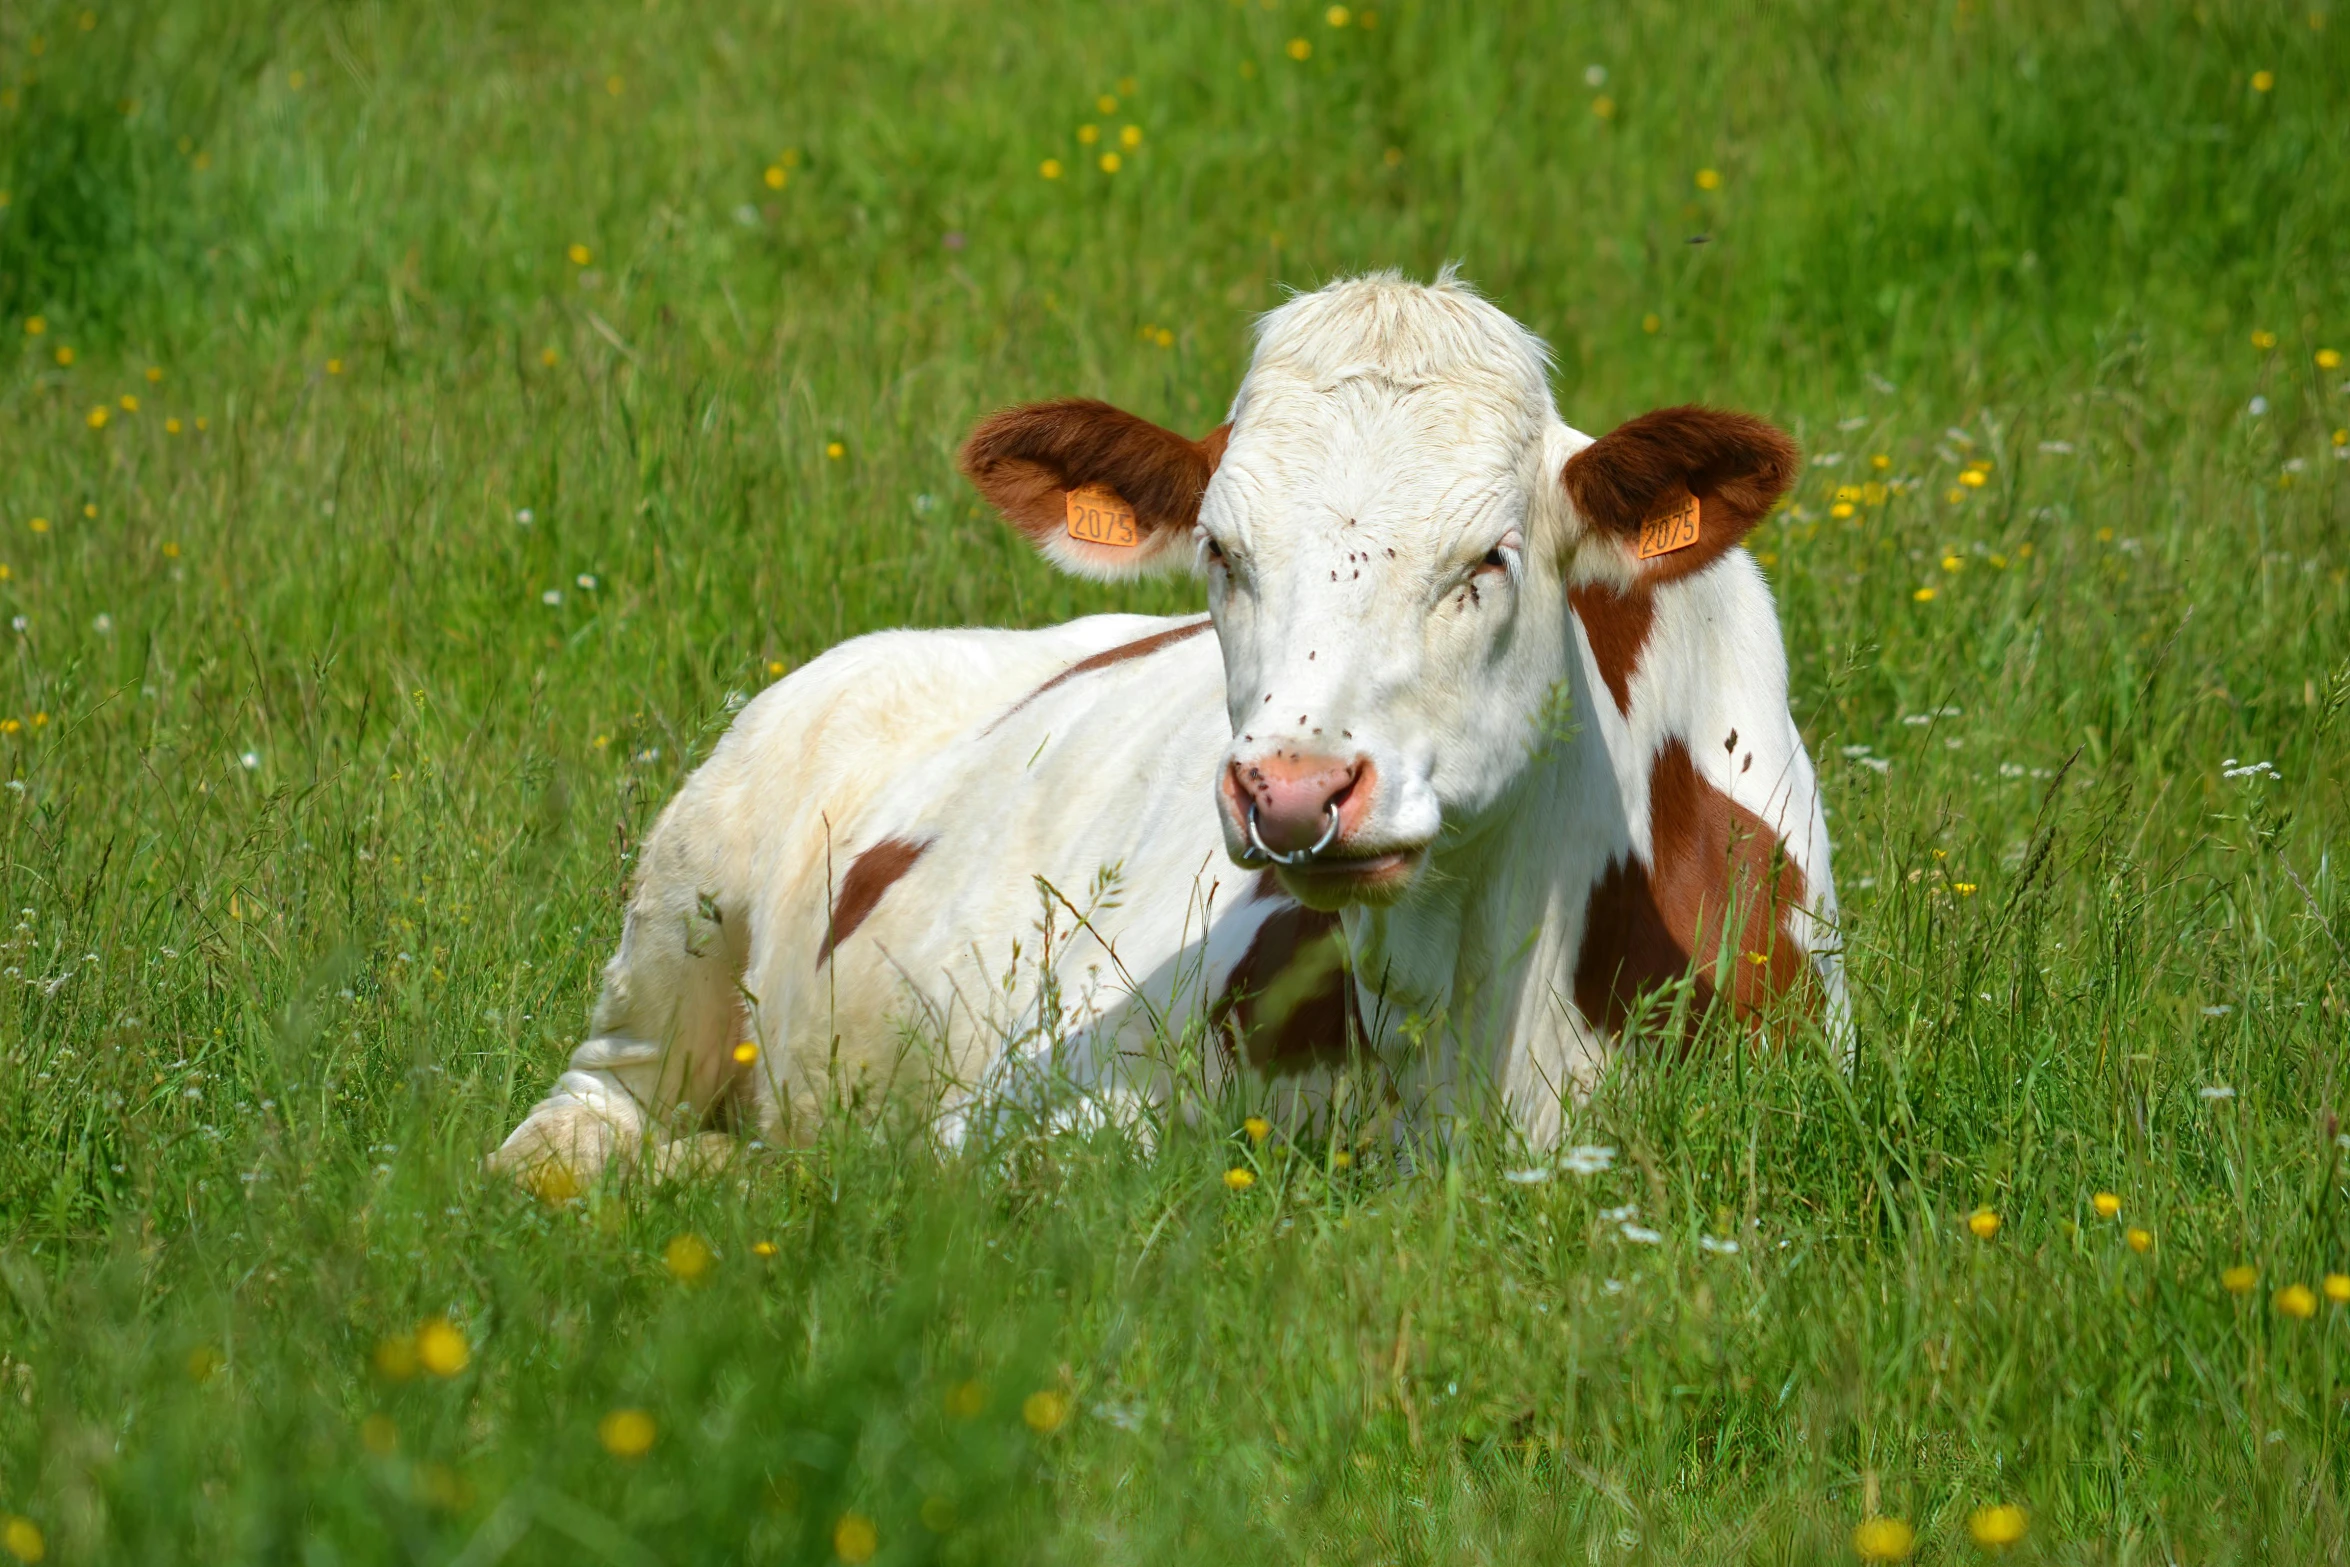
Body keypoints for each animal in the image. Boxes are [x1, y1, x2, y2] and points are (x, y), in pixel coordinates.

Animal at [495, 270, 1842, 1184]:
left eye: (1490, 559)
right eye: (1219, 549)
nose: (1292, 791)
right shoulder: (1016, 1114)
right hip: (680, 917)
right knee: (581, 1123)